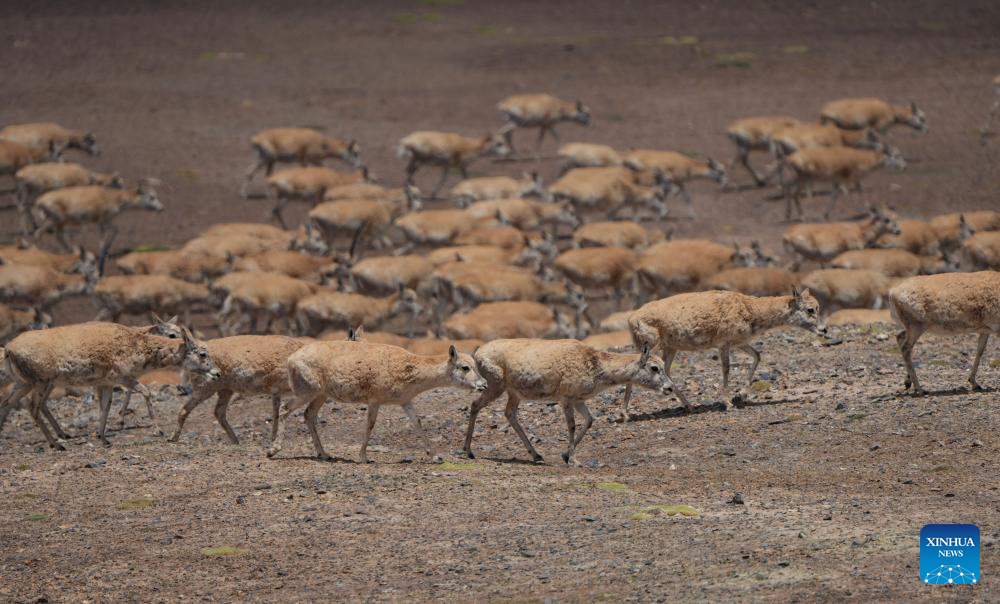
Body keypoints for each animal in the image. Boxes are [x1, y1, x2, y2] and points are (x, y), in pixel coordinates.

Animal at [270, 340, 488, 462]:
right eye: (465, 367)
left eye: (475, 365)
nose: (484, 384)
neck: (408, 369)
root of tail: (291, 359)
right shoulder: (375, 401)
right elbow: (370, 425)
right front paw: (363, 457)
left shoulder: (405, 402)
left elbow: (417, 423)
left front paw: (436, 456)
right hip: (307, 392)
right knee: (285, 409)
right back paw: (273, 450)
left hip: (321, 395)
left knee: (308, 415)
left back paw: (324, 454)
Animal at [462, 340, 668, 462]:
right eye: (654, 367)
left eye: (663, 364)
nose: (669, 388)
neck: (597, 366)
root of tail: (477, 353)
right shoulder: (566, 398)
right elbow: (571, 425)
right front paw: (573, 459)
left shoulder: (579, 400)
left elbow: (590, 420)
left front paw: (565, 455)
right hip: (495, 386)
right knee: (475, 405)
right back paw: (468, 451)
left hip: (514, 393)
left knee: (509, 414)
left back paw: (536, 455)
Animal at [624, 286, 828, 418]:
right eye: (810, 309)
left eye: (818, 307)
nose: (824, 330)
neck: (750, 309)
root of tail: (631, 320)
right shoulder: (724, 344)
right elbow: (726, 369)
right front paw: (728, 403)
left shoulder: (739, 343)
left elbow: (757, 355)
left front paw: (742, 395)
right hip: (653, 347)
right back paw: (625, 414)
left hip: (670, 348)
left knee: (665, 371)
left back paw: (689, 406)